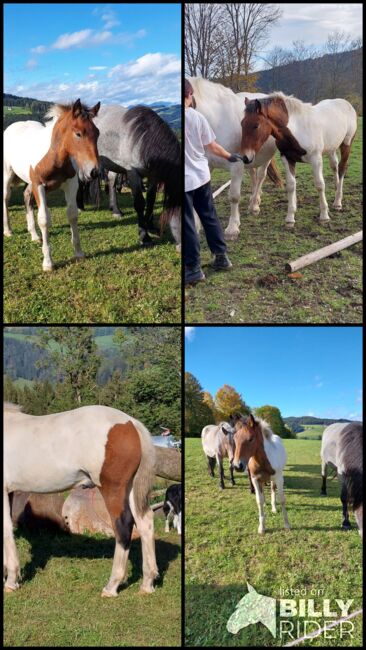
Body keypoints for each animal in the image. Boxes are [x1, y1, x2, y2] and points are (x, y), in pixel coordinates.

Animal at [3, 98, 101, 268]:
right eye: (78, 133)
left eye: (97, 134)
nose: (94, 171)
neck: (54, 157)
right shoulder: (39, 185)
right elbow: (44, 219)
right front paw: (48, 262)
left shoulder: (71, 184)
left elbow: (72, 214)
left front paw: (79, 253)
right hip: (8, 174)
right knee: (6, 197)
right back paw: (8, 230)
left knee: (26, 196)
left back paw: (34, 235)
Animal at [3, 402, 159, 596]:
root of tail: (131, 423)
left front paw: (10, 581)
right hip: (131, 487)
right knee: (145, 523)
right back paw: (147, 584)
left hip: (112, 489)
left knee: (123, 526)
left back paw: (111, 587)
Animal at [93, 105, 182, 249]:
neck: (142, 140)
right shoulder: (133, 173)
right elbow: (140, 203)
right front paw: (144, 236)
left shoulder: (153, 176)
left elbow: (151, 199)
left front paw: (150, 226)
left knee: (112, 181)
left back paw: (116, 210)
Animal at [187, 76, 282, 238]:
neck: (215, 122)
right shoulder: (207, 165)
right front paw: (197, 226)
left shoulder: (237, 165)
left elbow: (234, 196)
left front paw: (232, 228)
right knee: (253, 175)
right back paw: (254, 198)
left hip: (266, 157)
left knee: (261, 176)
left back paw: (254, 205)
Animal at [240, 92, 358, 228]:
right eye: (242, 123)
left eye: (256, 125)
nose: (245, 157)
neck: (297, 128)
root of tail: (346, 103)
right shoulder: (287, 159)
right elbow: (291, 185)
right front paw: (290, 218)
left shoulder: (316, 159)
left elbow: (319, 185)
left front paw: (324, 216)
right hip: (331, 148)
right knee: (335, 166)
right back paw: (337, 189)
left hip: (346, 144)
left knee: (342, 168)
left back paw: (338, 202)